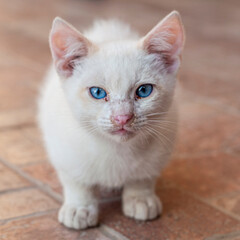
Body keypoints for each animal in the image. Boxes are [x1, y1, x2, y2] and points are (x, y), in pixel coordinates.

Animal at [37, 10, 185, 229]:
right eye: (97, 92)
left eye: (144, 90)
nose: (122, 117)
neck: (116, 150)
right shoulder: (62, 149)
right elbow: (76, 180)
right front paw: (79, 207)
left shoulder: (162, 145)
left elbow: (144, 176)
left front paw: (140, 198)